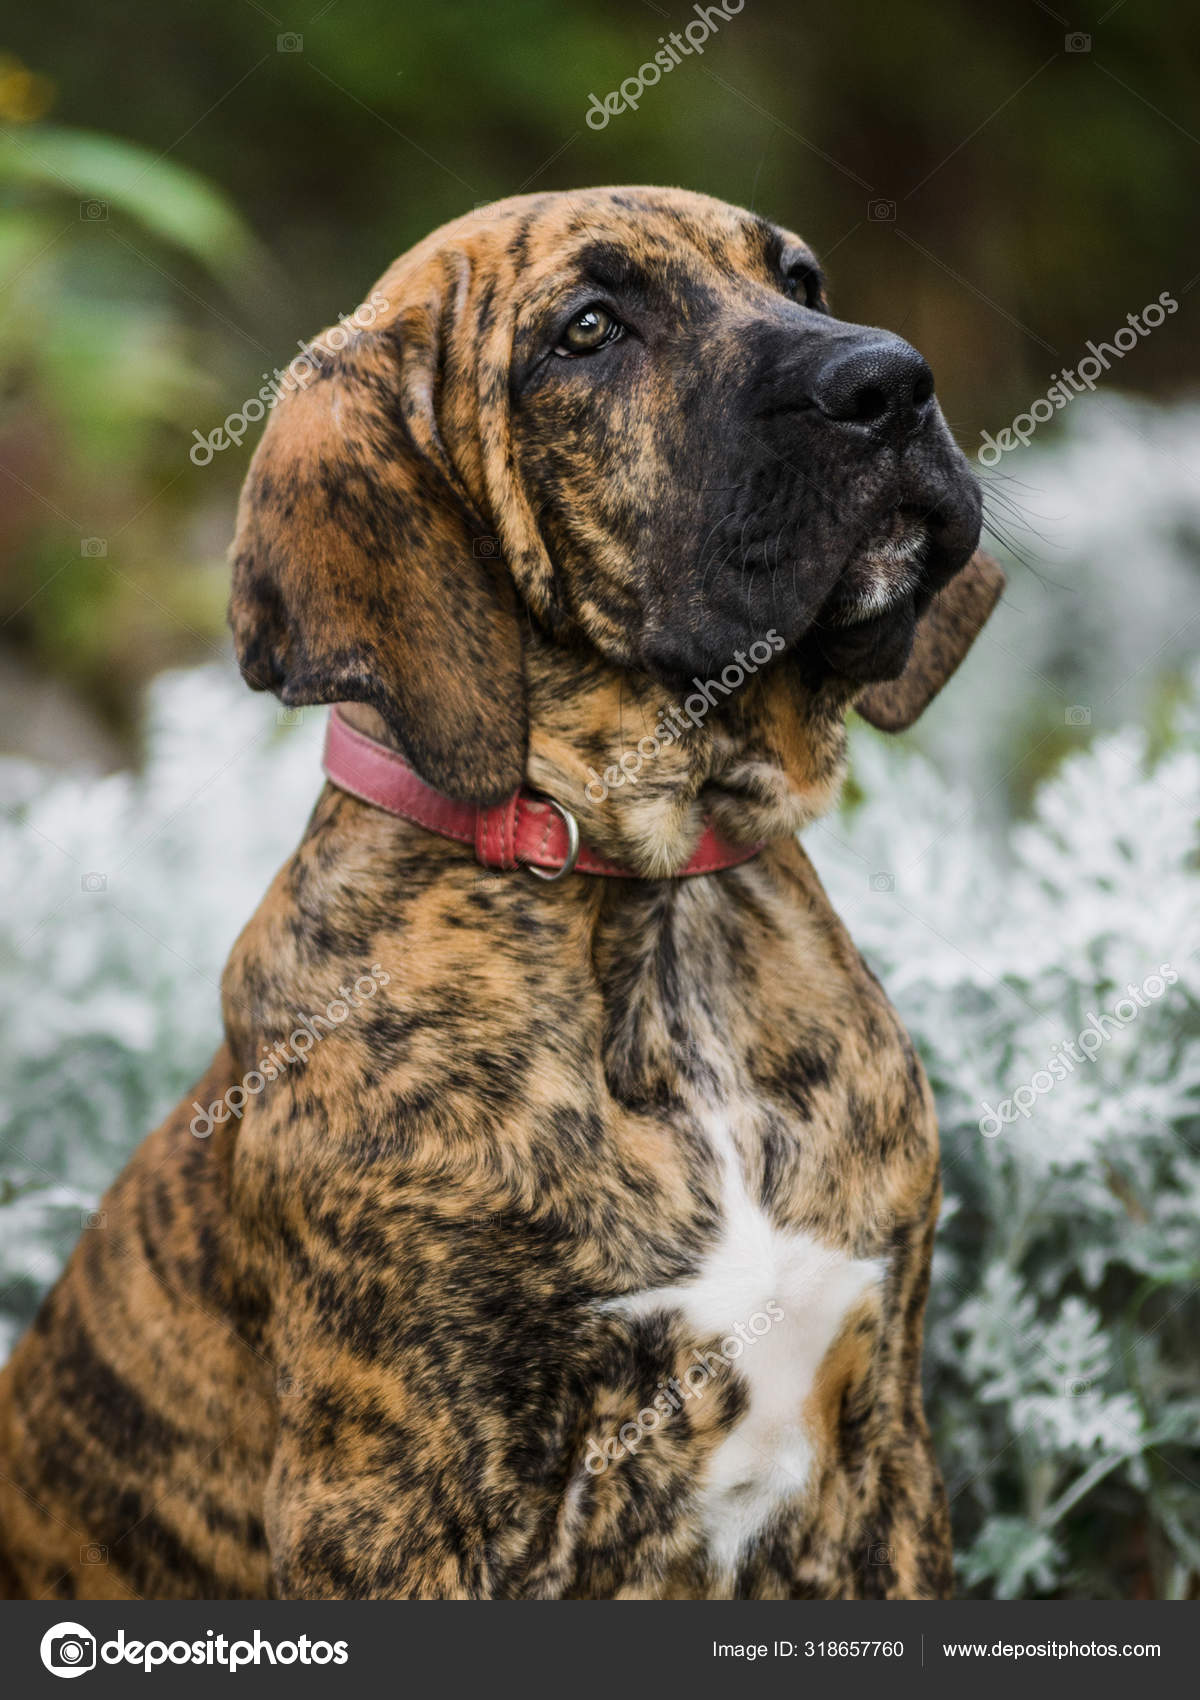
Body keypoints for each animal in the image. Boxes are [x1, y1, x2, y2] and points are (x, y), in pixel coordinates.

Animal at [0, 189, 999, 1604]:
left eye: (799, 277)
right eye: (586, 330)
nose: (892, 382)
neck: (646, 900)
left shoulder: (884, 1458)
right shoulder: (391, 1506)